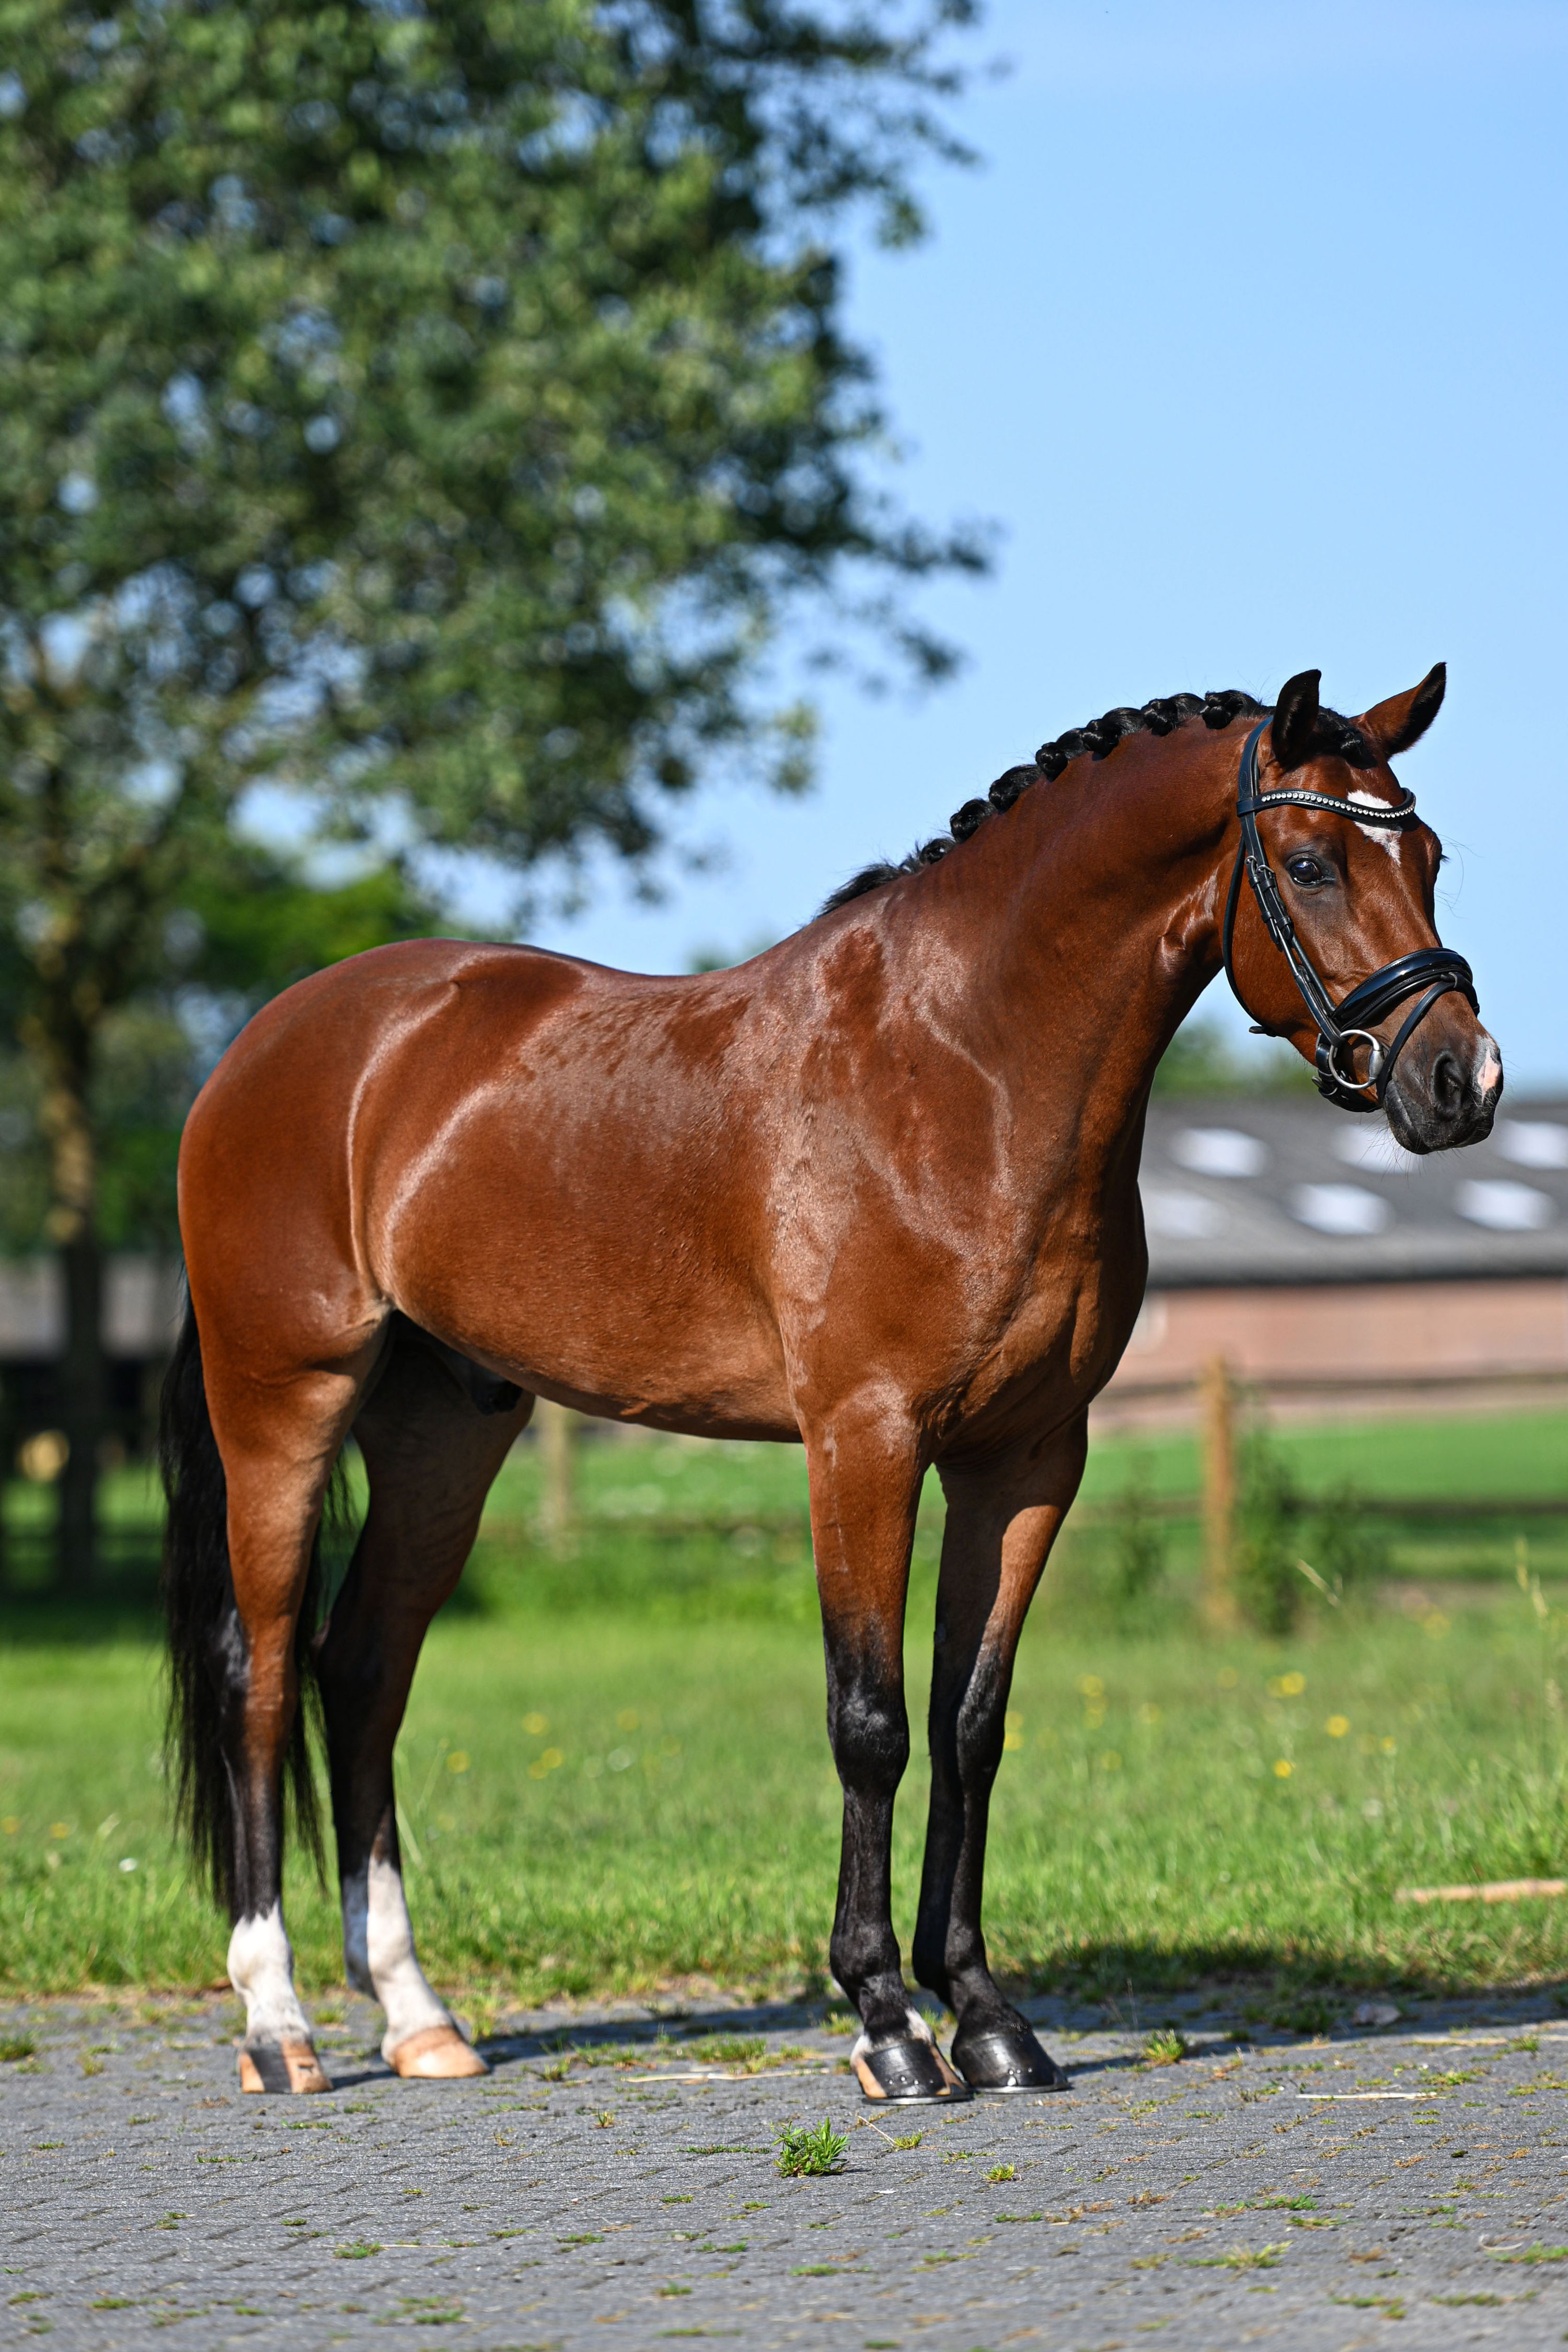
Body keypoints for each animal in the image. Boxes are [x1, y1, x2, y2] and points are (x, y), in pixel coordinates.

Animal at [162, 664, 1499, 2101]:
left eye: (1428, 855)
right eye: (1309, 862)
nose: (1460, 1081)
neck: (962, 1070)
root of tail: (274, 1041)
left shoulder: (1027, 1457)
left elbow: (971, 1724)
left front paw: (987, 2017)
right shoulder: (863, 1439)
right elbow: (872, 1721)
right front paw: (886, 2021)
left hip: (443, 1432)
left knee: (363, 1668)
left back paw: (418, 2017)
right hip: (283, 1402)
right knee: (262, 1670)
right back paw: (279, 2021)